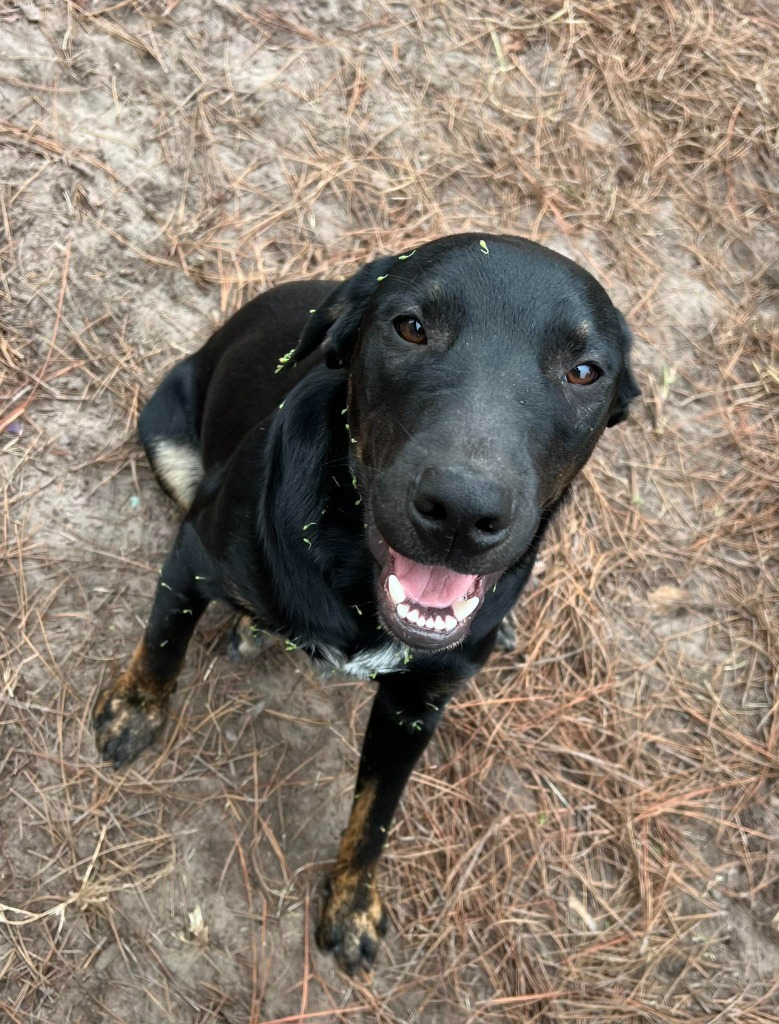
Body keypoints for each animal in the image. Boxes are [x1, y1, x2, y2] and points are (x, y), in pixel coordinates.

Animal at [92, 234, 638, 974]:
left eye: (584, 371)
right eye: (410, 327)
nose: (461, 512)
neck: (354, 571)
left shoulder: (414, 706)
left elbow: (375, 814)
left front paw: (351, 903)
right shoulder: (193, 556)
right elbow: (162, 644)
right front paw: (133, 712)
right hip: (168, 438)